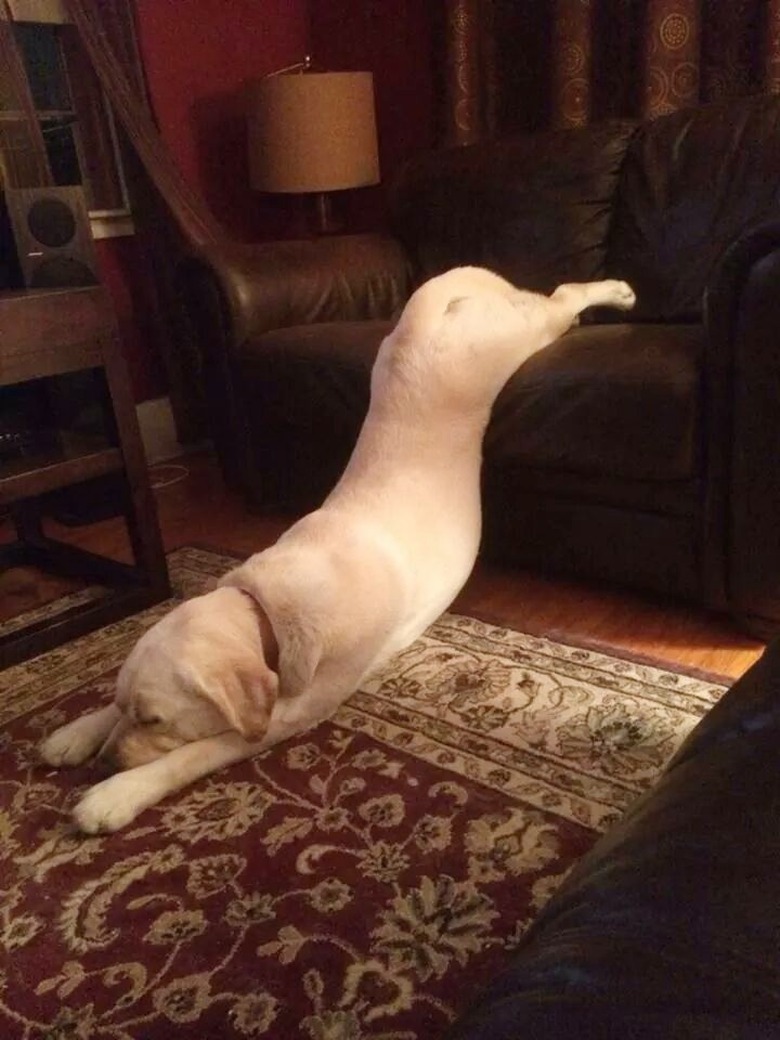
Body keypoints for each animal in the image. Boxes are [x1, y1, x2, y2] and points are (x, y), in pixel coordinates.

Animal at [41, 264, 636, 832]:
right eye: (125, 706)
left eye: (154, 720)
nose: (105, 763)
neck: (265, 610)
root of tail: (423, 313)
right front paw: (77, 731)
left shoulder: (296, 710)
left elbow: (198, 752)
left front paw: (117, 793)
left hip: (515, 336)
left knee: (562, 296)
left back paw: (618, 292)